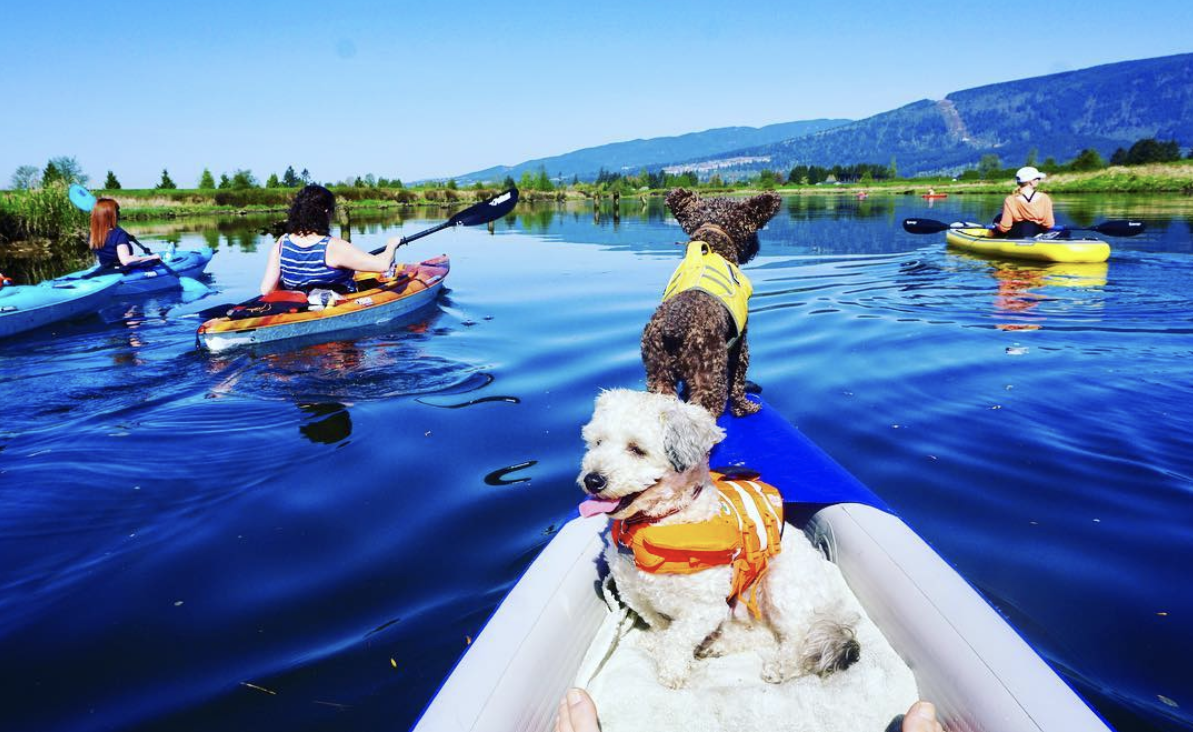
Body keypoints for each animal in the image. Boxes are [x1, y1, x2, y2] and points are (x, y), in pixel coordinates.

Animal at [575, 393, 863, 691]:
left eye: (636, 449)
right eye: (597, 442)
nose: (592, 479)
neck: (654, 524)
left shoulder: (705, 609)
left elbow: (677, 638)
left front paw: (671, 670)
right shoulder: (634, 593)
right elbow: (659, 625)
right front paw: (657, 642)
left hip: (781, 583)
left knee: (797, 638)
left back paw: (781, 667)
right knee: (765, 633)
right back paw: (717, 644)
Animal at [644, 189, 782, 419]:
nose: (756, 246)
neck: (713, 244)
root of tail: (674, 327)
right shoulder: (740, 344)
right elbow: (737, 382)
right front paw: (744, 408)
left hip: (659, 376)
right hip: (709, 376)